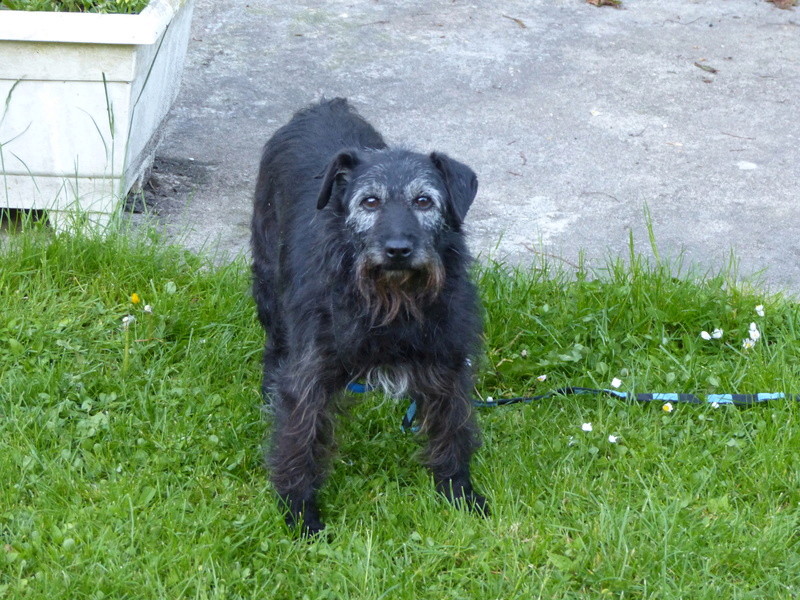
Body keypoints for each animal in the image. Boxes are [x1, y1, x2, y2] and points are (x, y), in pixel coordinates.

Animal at [250, 98, 488, 536]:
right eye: (370, 202)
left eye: (424, 201)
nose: (397, 249)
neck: (391, 298)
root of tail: (321, 106)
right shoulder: (309, 373)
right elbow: (298, 440)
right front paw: (300, 514)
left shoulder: (447, 365)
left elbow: (453, 429)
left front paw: (459, 494)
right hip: (268, 284)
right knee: (274, 348)